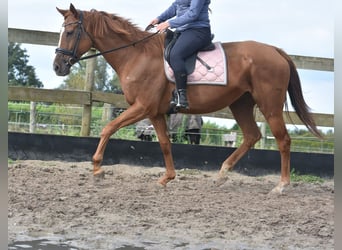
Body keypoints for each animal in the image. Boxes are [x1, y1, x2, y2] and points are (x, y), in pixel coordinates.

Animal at [52, 3, 320, 194]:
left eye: (70, 32)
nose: (57, 67)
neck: (137, 55)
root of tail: (275, 51)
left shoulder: (142, 107)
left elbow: (108, 128)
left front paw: (97, 169)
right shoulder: (155, 112)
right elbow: (164, 143)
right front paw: (166, 178)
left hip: (269, 105)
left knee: (283, 140)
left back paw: (281, 185)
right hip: (241, 103)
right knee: (252, 136)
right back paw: (222, 174)